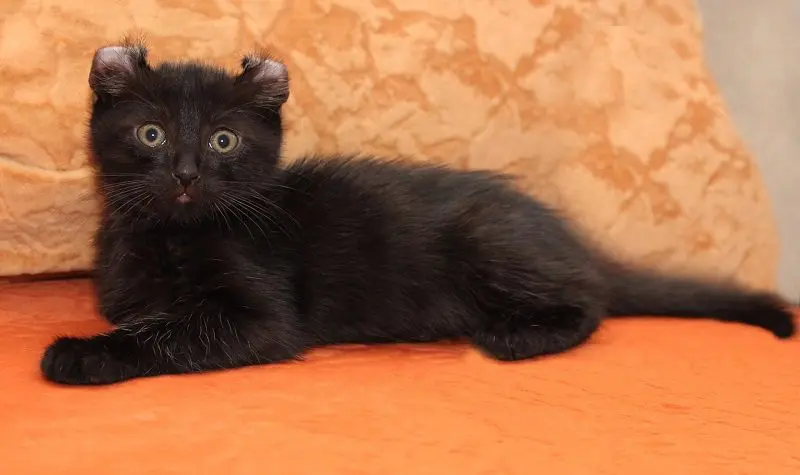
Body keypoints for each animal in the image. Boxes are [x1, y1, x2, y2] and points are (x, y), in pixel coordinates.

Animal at [42, 43, 792, 386]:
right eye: (152, 133)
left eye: (223, 140)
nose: (186, 172)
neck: (171, 235)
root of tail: (569, 238)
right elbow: (150, 316)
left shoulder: (263, 317)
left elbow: (175, 332)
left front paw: (82, 352)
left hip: (486, 236)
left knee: (592, 303)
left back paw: (514, 335)